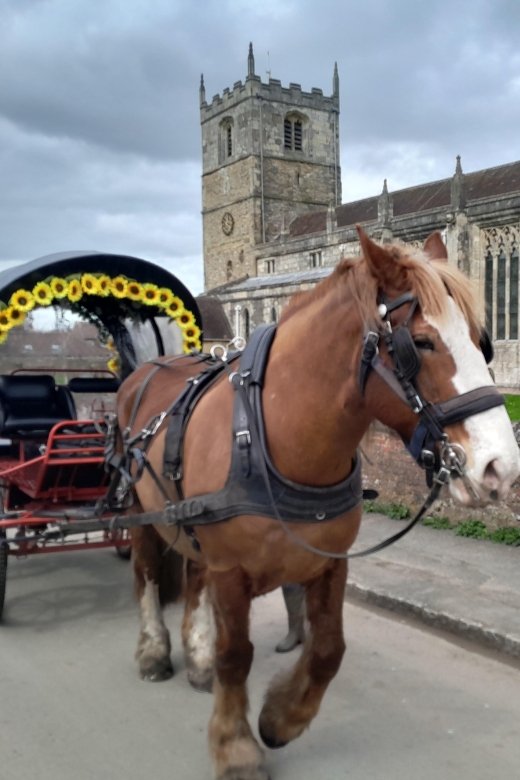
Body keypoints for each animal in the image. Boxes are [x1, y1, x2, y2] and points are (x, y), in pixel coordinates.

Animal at [116, 227, 516, 780]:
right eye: (420, 343)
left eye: (483, 341)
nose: (501, 467)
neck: (276, 435)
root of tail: (148, 369)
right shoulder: (232, 571)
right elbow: (236, 654)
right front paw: (236, 746)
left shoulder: (329, 563)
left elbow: (329, 650)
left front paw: (280, 718)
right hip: (143, 511)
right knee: (148, 572)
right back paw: (155, 651)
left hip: (189, 516)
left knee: (192, 573)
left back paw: (196, 660)